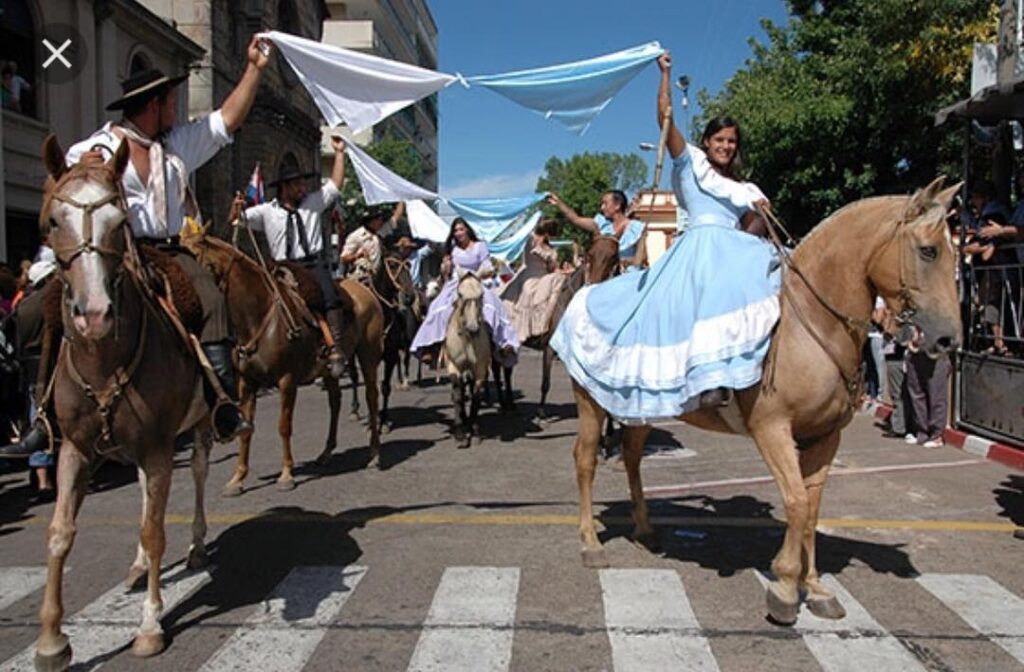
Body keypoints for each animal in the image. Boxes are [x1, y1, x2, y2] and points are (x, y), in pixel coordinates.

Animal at [34, 136, 214, 667]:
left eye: (119, 222)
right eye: (54, 221)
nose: (94, 315)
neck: (102, 363)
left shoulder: (158, 446)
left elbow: (156, 532)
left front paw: (151, 626)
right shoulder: (75, 449)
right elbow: (60, 533)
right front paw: (51, 640)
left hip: (197, 426)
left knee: (197, 473)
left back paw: (197, 544)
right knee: (142, 494)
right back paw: (135, 568)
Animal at [573, 178, 962, 622]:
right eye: (928, 250)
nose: (948, 339)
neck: (809, 327)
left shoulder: (826, 436)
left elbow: (811, 508)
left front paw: (815, 587)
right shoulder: (772, 429)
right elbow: (795, 502)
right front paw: (785, 586)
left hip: (639, 409)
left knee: (633, 457)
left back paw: (645, 530)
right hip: (591, 403)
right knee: (585, 461)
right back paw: (591, 544)